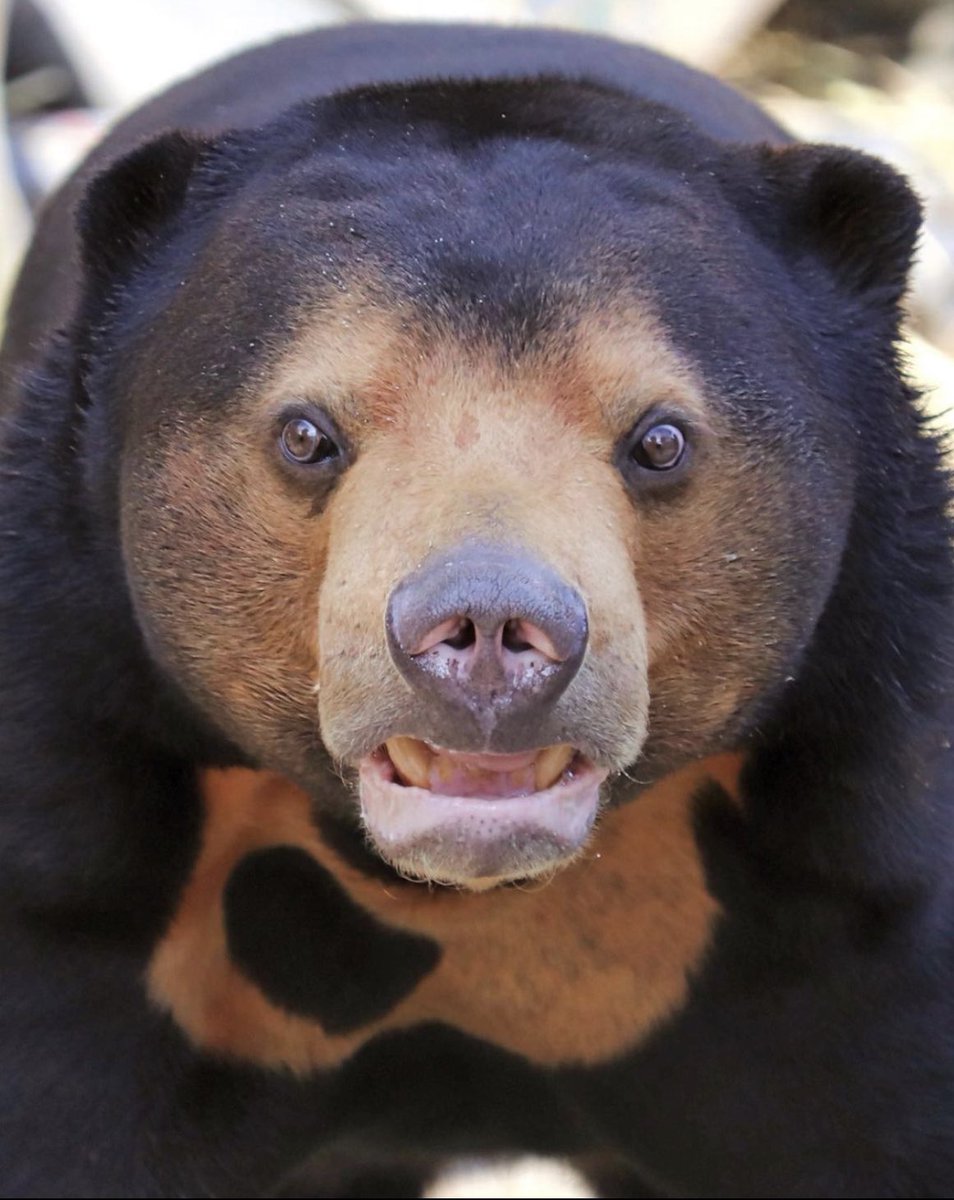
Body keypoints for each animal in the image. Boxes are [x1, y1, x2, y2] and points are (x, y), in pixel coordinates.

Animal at [2, 18, 953, 1198]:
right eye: (306, 434)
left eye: (660, 439)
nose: (492, 634)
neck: (457, 903)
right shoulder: (85, 864)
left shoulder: (854, 877)